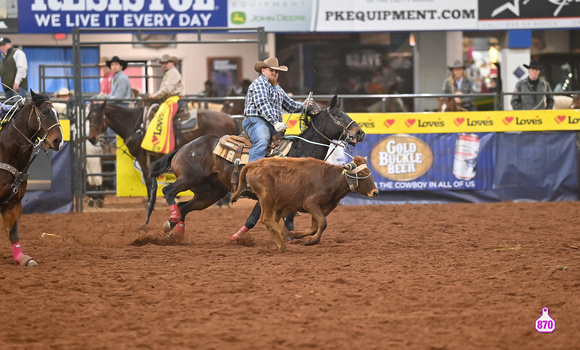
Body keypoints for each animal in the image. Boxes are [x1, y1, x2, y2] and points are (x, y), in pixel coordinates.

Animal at [0, 89, 62, 266]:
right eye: (45, 112)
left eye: (58, 114)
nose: (58, 140)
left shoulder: (13, 204)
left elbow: (13, 232)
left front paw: (22, 258)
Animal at [86, 102, 236, 198]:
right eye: (88, 118)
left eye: (98, 117)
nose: (91, 138)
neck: (136, 125)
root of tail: (229, 119)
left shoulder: (142, 157)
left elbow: (148, 180)